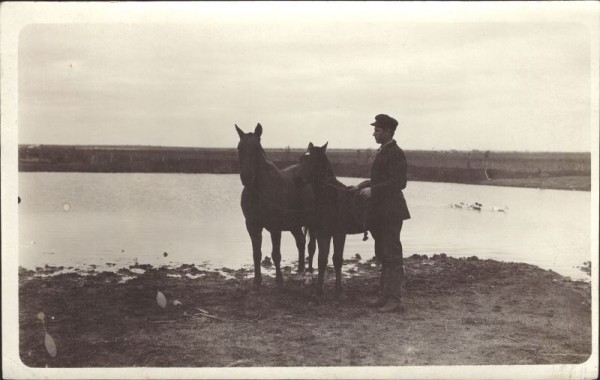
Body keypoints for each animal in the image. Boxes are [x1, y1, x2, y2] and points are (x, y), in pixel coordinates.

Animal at [236, 123, 316, 290]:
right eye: (239, 148)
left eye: (257, 149)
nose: (246, 177)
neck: (259, 192)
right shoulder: (252, 225)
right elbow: (257, 254)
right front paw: (257, 280)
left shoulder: (275, 227)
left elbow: (276, 254)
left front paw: (279, 280)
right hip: (294, 224)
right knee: (301, 242)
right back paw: (300, 271)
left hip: (312, 222)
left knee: (311, 247)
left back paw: (309, 274)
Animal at [296, 142, 370, 296]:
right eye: (301, 159)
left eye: (312, 160)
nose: (297, 180)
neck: (331, 198)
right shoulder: (322, 233)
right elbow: (322, 259)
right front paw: (319, 290)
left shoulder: (339, 234)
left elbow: (337, 259)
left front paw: (338, 290)